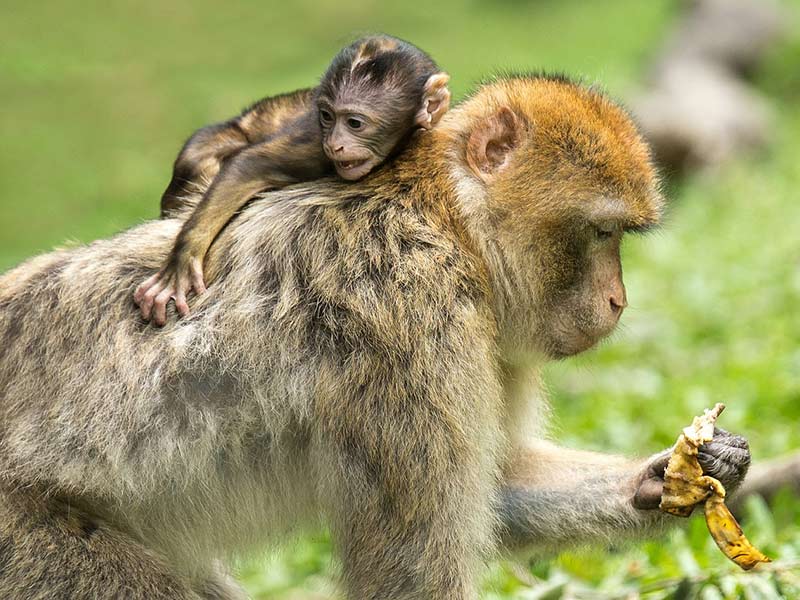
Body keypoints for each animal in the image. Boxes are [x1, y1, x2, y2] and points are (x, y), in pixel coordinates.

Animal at [137, 34, 450, 324]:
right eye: (326, 116)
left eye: (354, 123)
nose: (335, 144)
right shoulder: (314, 147)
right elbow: (248, 166)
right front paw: (181, 263)